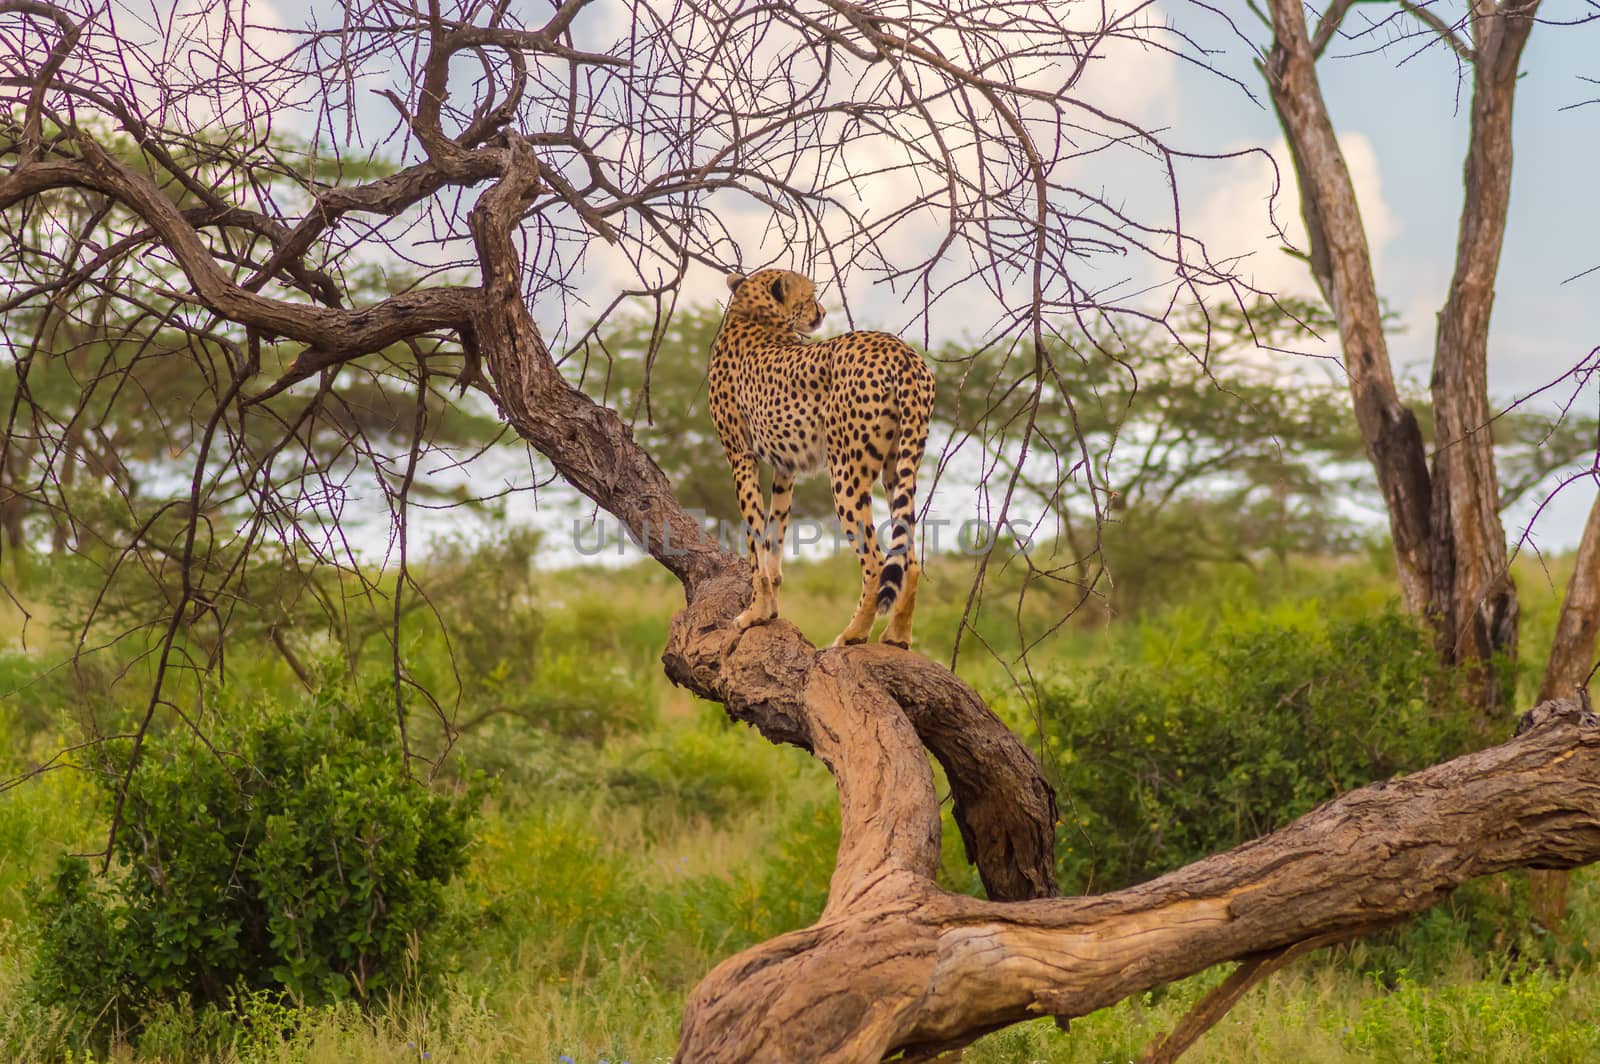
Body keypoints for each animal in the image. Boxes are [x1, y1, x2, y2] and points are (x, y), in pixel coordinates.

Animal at [710, 267, 934, 646]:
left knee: (875, 563)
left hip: (846, 471)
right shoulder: (785, 468)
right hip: (898, 467)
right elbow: (772, 538)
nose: (823, 312)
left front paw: (755, 613)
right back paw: (897, 636)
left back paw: (853, 634)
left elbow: (755, 543)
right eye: (809, 294)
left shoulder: (740, 456)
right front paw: (769, 610)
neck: (752, 314)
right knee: (909, 560)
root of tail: (898, 347)